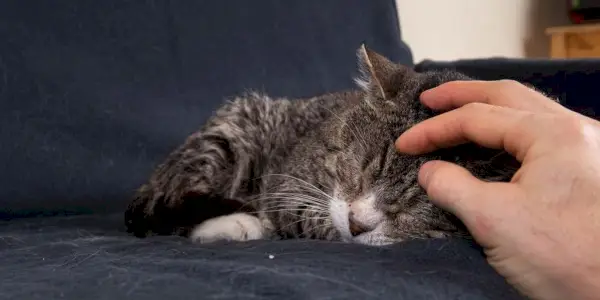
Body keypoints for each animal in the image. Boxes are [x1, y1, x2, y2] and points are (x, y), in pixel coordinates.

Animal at [123, 45, 520, 246]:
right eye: (359, 169)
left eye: (413, 207)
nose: (358, 225)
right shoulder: (285, 183)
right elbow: (306, 215)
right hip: (227, 137)